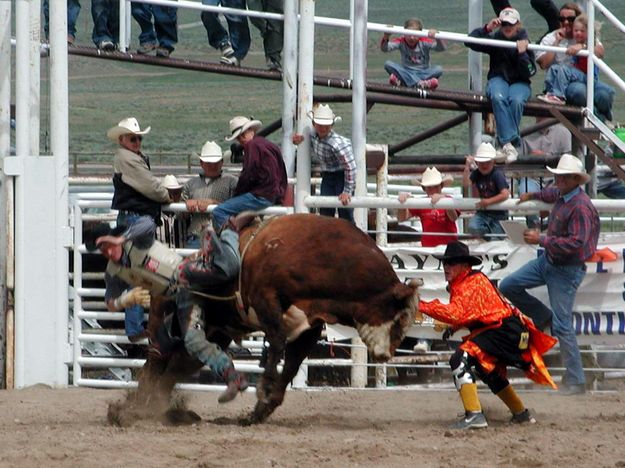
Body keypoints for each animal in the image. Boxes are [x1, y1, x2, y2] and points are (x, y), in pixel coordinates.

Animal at [114, 214, 422, 426]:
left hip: (211, 335)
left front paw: (261, 409)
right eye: (400, 317)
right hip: (164, 324)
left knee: (173, 371)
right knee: (154, 363)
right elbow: (276, 342)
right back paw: (130, 411)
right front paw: (263, 390)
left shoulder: (310, 326)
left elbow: (292, 362)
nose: (387, 354)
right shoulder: (265, 299)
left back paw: (160, 411)